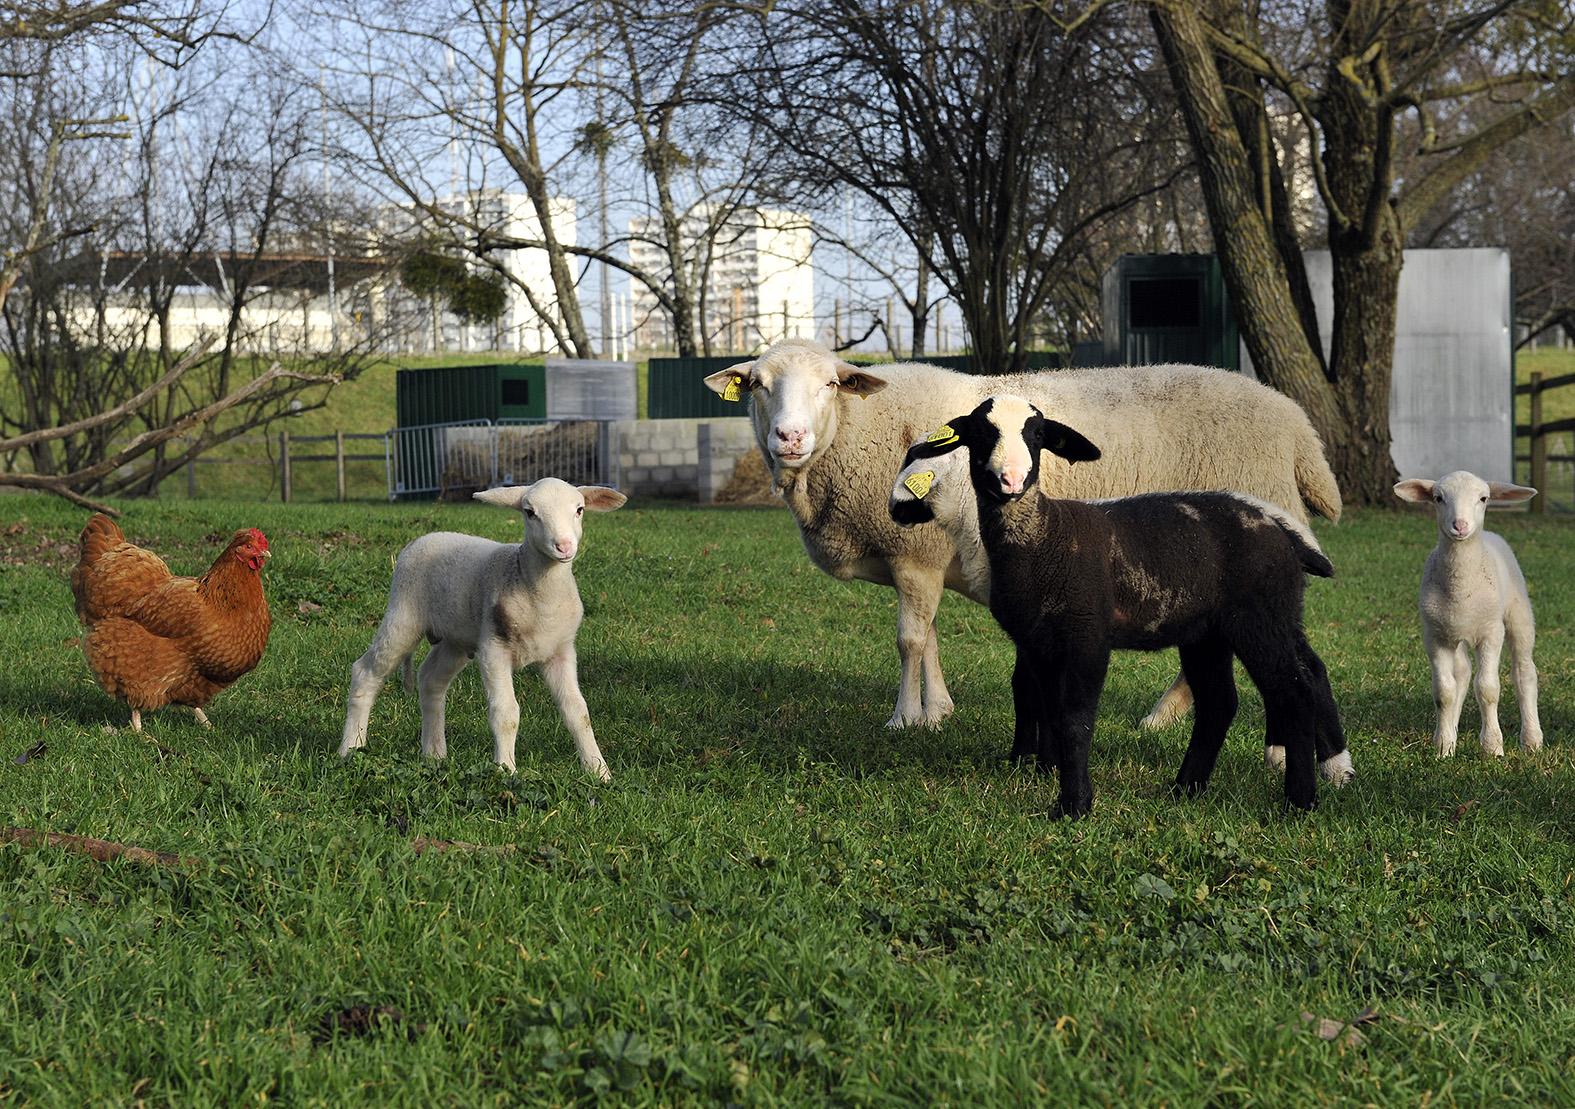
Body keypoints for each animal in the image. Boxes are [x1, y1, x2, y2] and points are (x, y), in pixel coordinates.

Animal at [338, 478, 626, 781]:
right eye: (529, 512)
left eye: (579, 510)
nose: (564, 546)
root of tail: (422, 538)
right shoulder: (493, 647)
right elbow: (506, 713)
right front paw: (506, 770)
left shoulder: (561, 650)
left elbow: (577, 712)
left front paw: (599, 771)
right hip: (403, 614)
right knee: (365, 673)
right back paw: (351, 748)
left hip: (456, 638)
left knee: (430, 679)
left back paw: (434, 754)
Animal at [708, 341, 1335, 730]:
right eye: (758, 385)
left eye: (831, 384)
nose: (790, 437)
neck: (856, 432)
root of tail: (1297, 424)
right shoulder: (924, 559)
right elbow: (930, 637)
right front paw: (938, 712)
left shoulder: (916, 555)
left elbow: (910, 640)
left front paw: (904, 719)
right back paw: (1167, 716)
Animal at [894, 393, 1360, 819]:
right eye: (979, 433)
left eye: (1038, 435)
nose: (1010, 479)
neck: (1045, 538)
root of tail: (1283, 530)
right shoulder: (1039, 643)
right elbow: (1046, 707)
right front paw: (1048, 771)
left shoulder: (1087, 635)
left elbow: (1075, 719)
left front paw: (1074, 805)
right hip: (1207, 632)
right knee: (1220, 703)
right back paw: (1186, 789)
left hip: (1261, 617)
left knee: (1294, 692)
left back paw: (1300, 800)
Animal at [1392, 472, 1537, 759]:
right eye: (1438, 498)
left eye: (1483, 498)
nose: (1460, 526)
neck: (1461, 589)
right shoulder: (1435, 636)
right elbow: (1443, 691)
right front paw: (1444, 746)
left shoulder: (1491, 632)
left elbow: (1488, 689)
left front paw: (1492, 748)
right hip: (1454, 632)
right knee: (1461, 673)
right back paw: (1451, 730)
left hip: (1519, 613)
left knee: (1524, 672)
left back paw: (1532, 740)